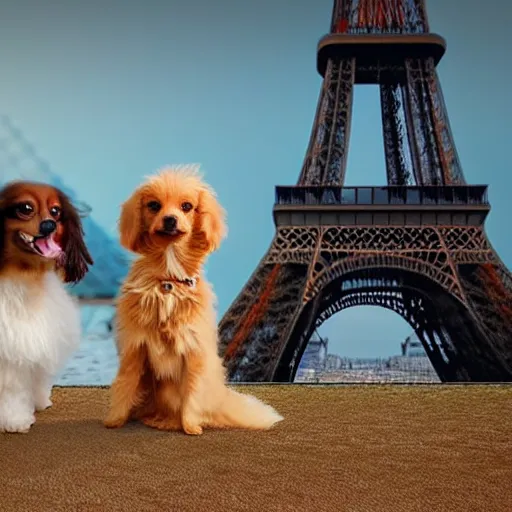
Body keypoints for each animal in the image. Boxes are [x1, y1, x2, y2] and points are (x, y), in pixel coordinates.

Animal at [102, 166, 282, 434]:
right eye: (154, 206)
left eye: (187, 206)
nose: (170, 219)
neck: (168, 279)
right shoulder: (136, 348)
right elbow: (126, 383)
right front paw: (115, 419)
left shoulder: (193, 351)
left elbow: (192, 394)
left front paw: (190, 427)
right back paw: (155, 419)